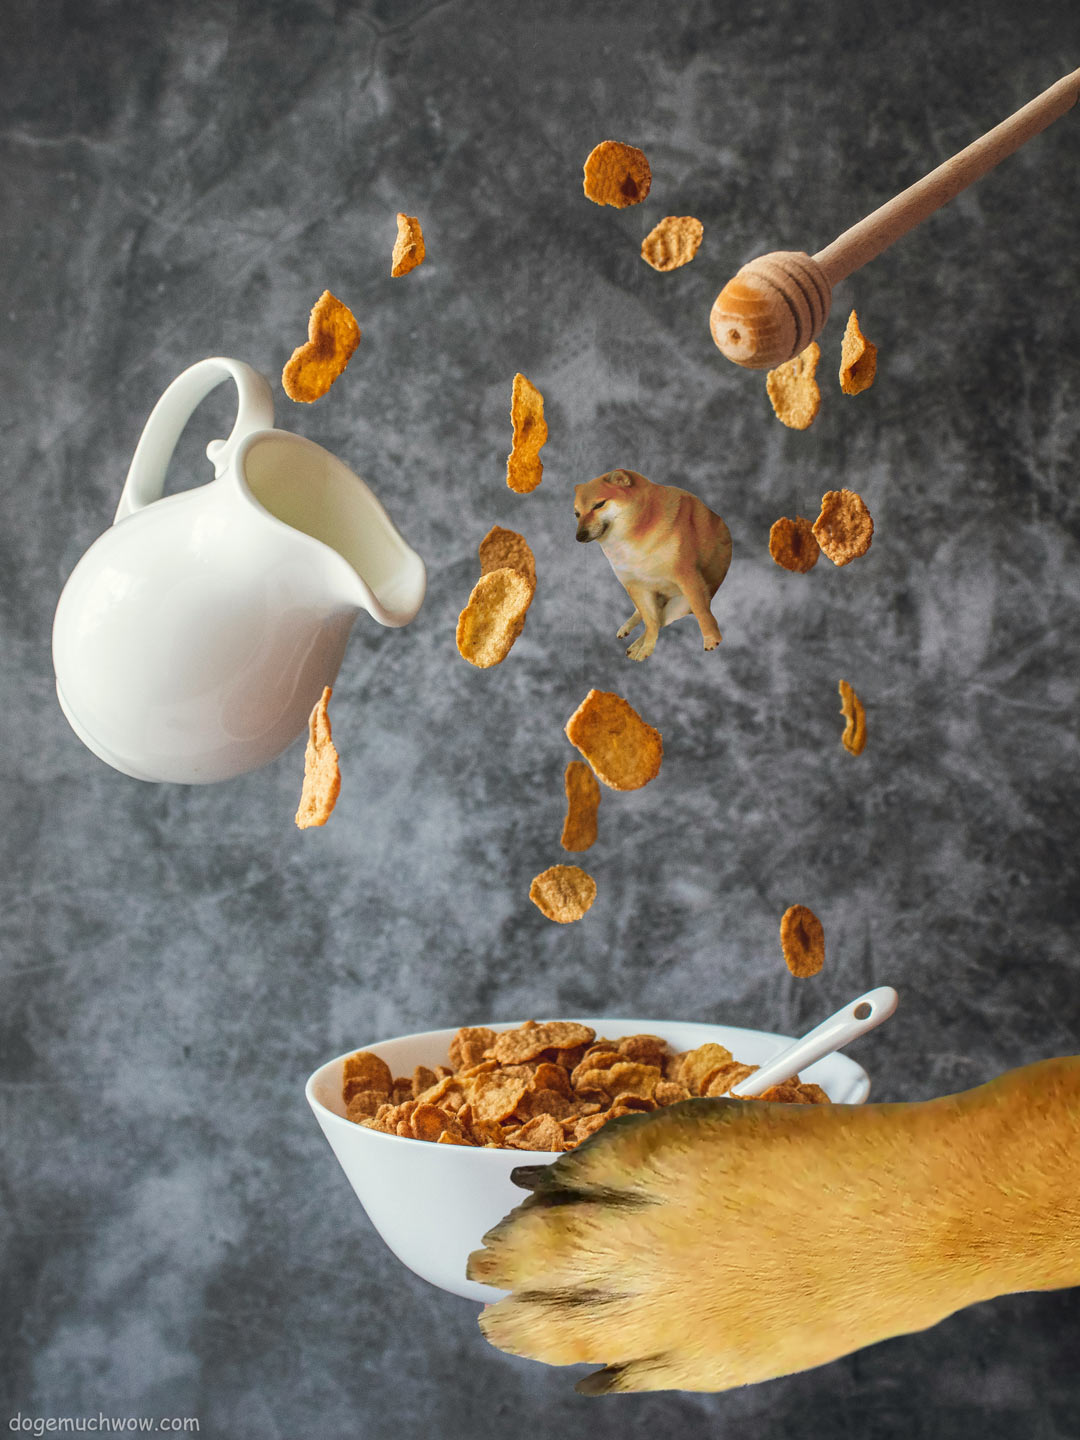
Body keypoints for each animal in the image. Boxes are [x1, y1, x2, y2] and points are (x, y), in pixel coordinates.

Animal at [576, 469, 737, 659]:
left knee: (663, 619)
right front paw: (646, 648)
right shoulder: (634, 585)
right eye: (577, 514)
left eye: (599, 505)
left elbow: (701, 611)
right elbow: (651, 623)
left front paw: (712, 639)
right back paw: (631, 635)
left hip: (680, 604)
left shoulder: (687, 577)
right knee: (648, 618)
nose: (579, 536)